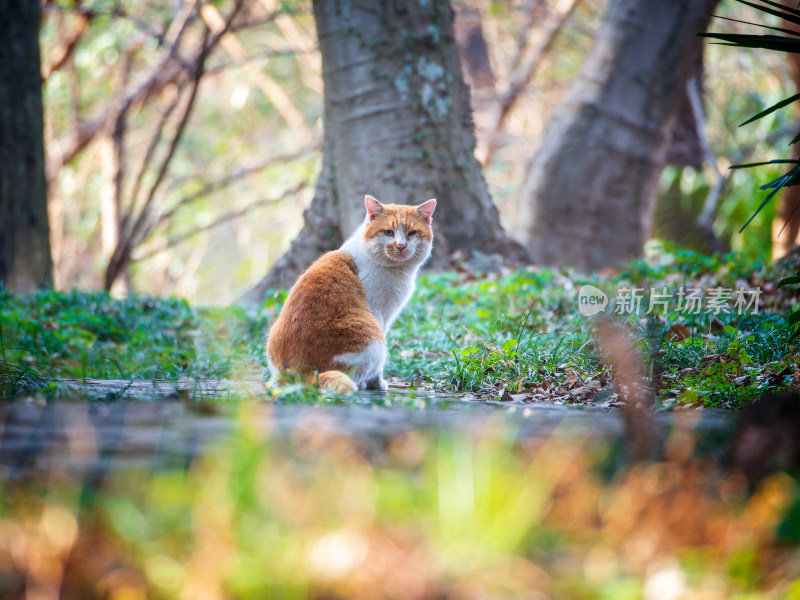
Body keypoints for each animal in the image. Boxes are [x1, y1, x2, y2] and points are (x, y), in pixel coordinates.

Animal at [266, 196, 434, 394]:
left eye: (412, 233)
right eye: (388, 233)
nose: (401, 245)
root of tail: (298, 371)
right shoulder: (379, 315)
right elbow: (379, 370)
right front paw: (378, 384)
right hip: (373, 342)